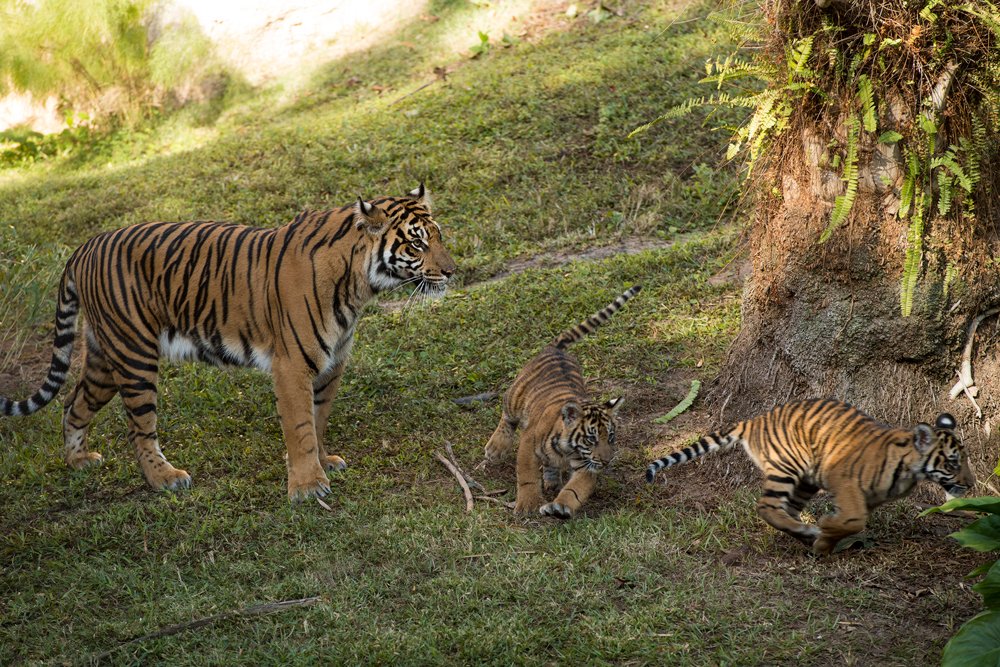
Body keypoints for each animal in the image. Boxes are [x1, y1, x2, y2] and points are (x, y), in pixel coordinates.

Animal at [0, 184, 456, 502]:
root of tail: (84, 246)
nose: (452, 271)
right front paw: (307, 486)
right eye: (417, 242)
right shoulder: (292, 364)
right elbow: (300, 425)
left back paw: (78, 461)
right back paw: (165, 478)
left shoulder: (332, 364)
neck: (358, 286)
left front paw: (322, 461)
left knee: (72, 404)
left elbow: (319, 418)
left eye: (438, 236)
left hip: (103, 358)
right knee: (139, 429)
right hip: (134, 357)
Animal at [484, 285, 641, 519]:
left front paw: (560, 507)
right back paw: (496, 447)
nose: (606, 461)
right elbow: (527, 475)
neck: (569, 450)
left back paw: (552, 481)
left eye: (611, 437)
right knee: (506, 416)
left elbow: (576, 489)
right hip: (515, 397)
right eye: (591, 439)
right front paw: (529, 504)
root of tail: (555, 348)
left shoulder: (587, 464)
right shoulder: (528, 444)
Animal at [645, 398, 975, 555]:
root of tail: (756, 419)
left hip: (805, 480)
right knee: (766, 506)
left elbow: (851, 522)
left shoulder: (869, 497)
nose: (971, 484)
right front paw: (825, 531)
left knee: (785, 510)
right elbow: (853, 521)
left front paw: (824, 542)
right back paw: (806, 531)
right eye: (953, 462)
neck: (909, 469)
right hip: (787, 466)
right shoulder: (844, 480)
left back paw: (803, 533)